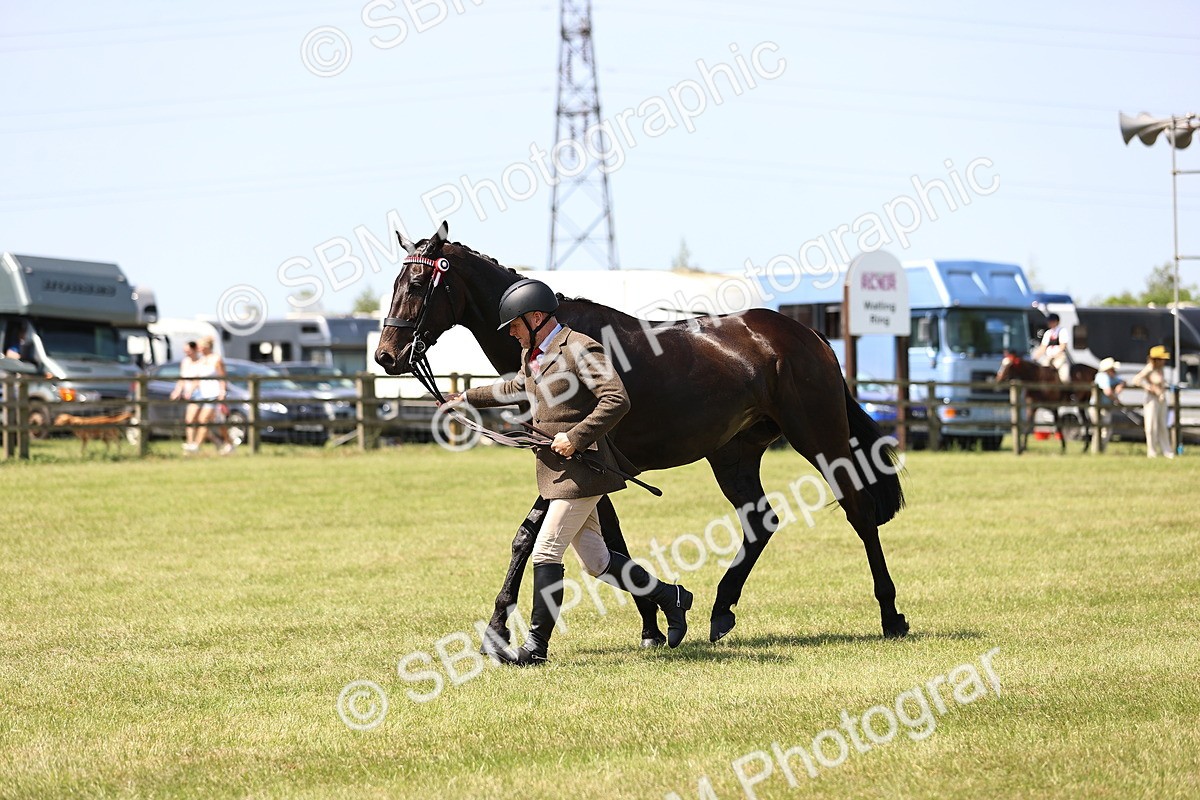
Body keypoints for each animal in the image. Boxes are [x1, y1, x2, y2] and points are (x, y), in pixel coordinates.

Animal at [375, 222, 909, 644]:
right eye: (396, 281)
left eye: (418, 283)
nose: (387, 355)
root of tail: (809, 335)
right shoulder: (590, 469)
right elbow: (605, 544)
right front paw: (657, 622)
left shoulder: (572, 456)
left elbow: (532, 537)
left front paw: (499, 627)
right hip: (733, 454)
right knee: (760, 522)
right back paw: (721, 610)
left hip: (820, 438)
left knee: (859, 512)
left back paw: (891, 615)